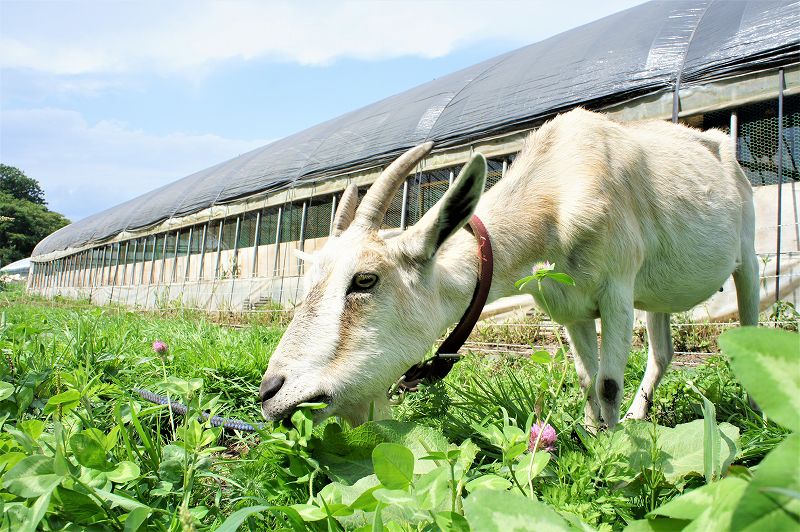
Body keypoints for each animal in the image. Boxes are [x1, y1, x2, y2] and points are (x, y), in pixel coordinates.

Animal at [260, 108, 760, 428]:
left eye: (365, 279)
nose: (270, 393)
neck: (558, 192)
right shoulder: (571, 307)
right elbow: (586, 380)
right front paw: (594, 436)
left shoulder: (616, 291)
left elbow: (607, 384)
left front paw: (615, 451)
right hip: (655, 295)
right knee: (662, 351)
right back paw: (640, 416)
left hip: (747, 255)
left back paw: (758, 413)